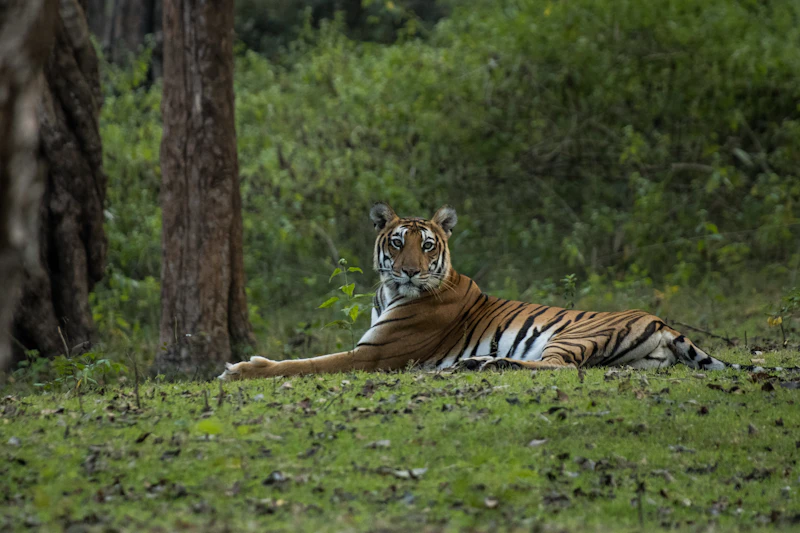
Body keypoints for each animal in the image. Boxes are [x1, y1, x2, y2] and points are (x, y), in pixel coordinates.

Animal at [219, 202, 791, 381]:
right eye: (398, 243)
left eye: (428, 246)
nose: (409, 273)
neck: (391, 293)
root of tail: (663, 322)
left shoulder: (370, 357)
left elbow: (304, 363)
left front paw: (240, 368)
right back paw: (475, 364)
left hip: (568, 335)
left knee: (557, 369)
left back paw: (482, 364)